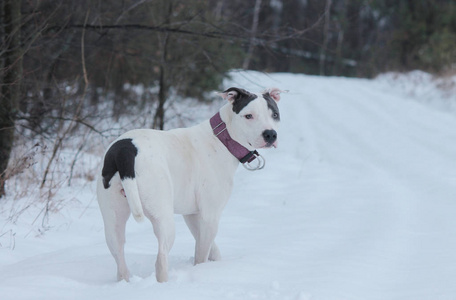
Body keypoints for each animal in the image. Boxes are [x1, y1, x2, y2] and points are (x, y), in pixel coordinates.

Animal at [96, 86, 284, 282]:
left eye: (275, 114)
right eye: (249, 116)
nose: (270, 134)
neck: (222, 138)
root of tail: (124, 150)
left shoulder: (193, 215)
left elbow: (211, 248)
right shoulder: (210, 215)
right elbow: (201, 253)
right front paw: (200, 270)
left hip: (113, 220)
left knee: (119, 255)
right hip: (164, 218)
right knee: (161, 257)